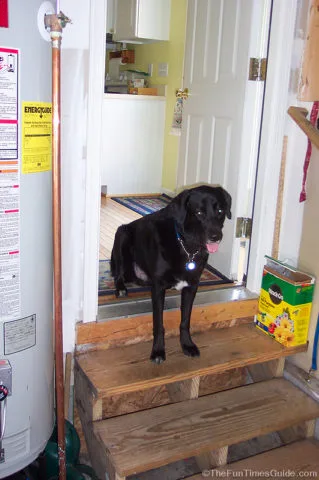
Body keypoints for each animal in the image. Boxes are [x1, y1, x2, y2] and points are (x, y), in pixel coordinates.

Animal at [111, 185, 231, 364]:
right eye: (199, 212)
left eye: (220, 210)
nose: (216, 237)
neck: (187, 246)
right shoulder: (158, 288)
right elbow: (158, 323)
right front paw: (158, 351)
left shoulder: (191, 286)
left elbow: (185, 320)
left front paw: (187, 345)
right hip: (122, 235)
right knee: (118, 274)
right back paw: (120, 288)